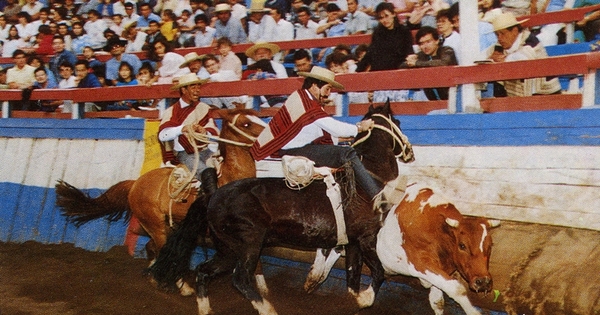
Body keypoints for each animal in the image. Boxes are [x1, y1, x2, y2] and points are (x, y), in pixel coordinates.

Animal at [55, 108, 266, 262]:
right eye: (246, 123)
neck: (230, 178)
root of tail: (135, 183)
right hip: (154, 224)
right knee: (159, 246)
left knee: (152, 247)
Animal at [148, 102, 414, 314]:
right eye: (398, 121)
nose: (409, 153)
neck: (364, 181)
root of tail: (214, 193)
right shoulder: (368, 238)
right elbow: (378, 271)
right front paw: (364, 299)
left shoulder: (354, 242)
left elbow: (352, 275)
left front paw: (354, 299)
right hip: (249, 242)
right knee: (240, 278)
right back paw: (267, 308)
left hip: (227, 248)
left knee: (203, 271)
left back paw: (205, 309)